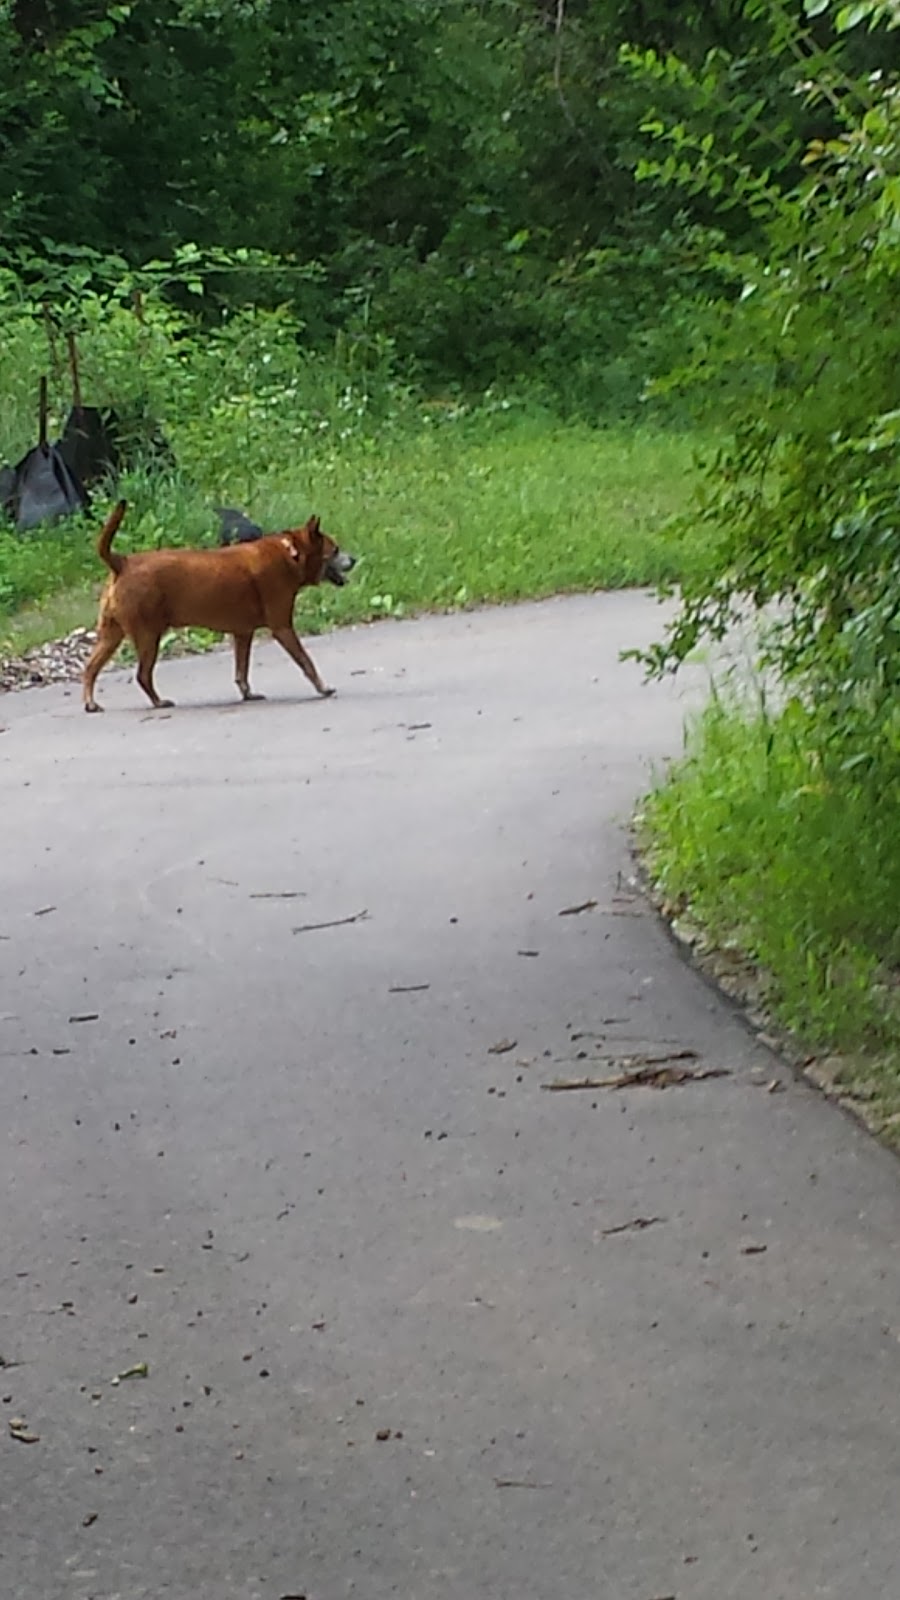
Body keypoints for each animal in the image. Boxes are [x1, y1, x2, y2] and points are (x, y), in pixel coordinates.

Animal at [81, 499, 353, 713]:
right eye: (335, 550)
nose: (355, 559)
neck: (292, 553)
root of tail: (122, 562)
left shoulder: (243, 634)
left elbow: (241, 671)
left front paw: (247, 694)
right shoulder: (283, 628)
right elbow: (306, 662)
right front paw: (323, 688)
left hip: (110, 635)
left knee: (90, 668)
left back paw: (90, 703)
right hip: (148, 636)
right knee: (142, 675)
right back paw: (158, 702)